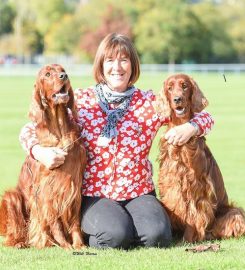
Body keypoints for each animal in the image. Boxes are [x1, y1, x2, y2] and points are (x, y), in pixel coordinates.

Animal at [0, 63, 86, 249]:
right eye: (47, 74)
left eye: (62, 70)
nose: (64, 76)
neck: (59, 130)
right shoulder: (47, 190)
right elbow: (54, 222)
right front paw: (65, 245)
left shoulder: (74, 188)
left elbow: (75, 220)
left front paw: (79, 244)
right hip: (12, 197)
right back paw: (19, 242)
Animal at [157, 73, 245, 243]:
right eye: (169, 88)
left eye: (184, 86)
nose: (177, 99)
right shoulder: (170, 183)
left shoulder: (195, 186)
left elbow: (193, 215)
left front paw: (186, 240)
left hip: (234, 213)